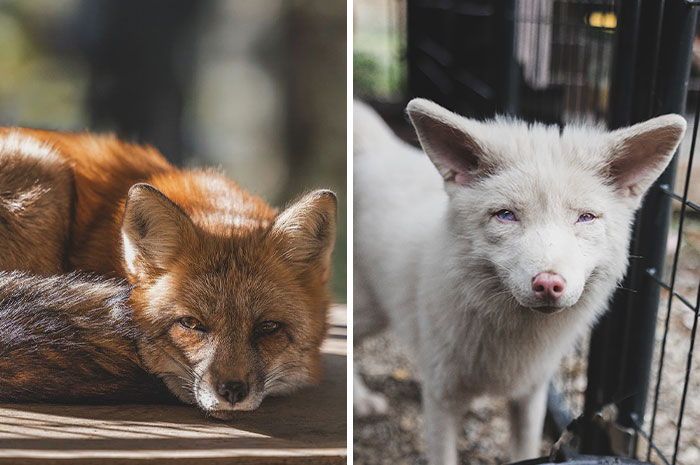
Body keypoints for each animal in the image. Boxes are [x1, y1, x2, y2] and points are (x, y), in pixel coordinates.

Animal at [352, 99, 686, 463]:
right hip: (369, 314)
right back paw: (360, 399)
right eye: (506, 216)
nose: (549, 284)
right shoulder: (440, 397)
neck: (510, 345)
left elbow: (525, 450)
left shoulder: (531, 394)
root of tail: (379, 151)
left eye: (585, 217)